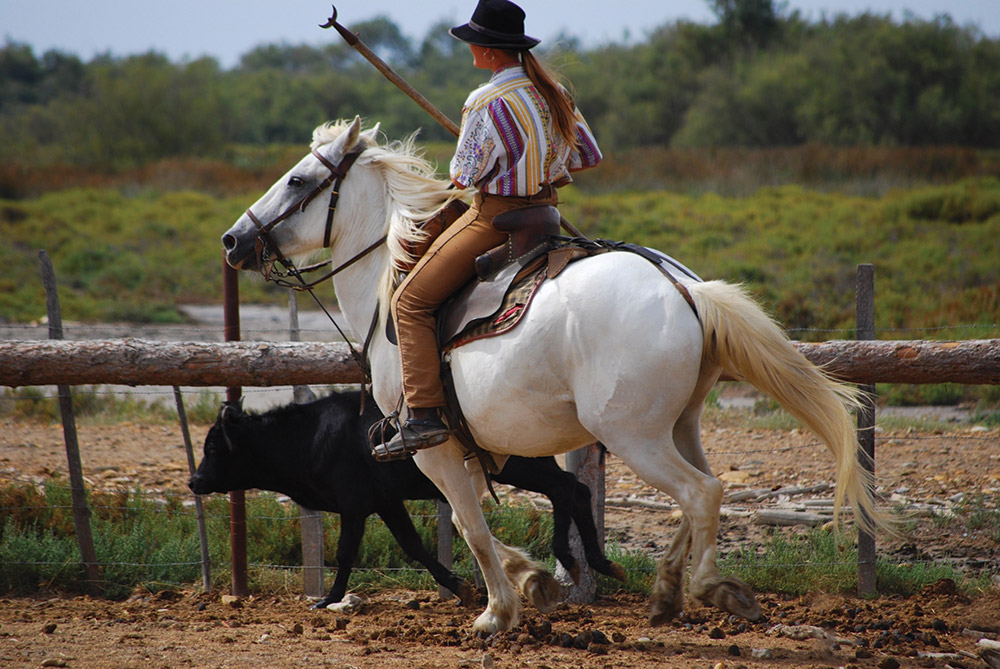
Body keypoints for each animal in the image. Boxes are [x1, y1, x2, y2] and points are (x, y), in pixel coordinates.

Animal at [223, 117, 888, 636]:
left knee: (699, 493)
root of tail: (685, 288)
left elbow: (470, 525)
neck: (393, 284)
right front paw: (532, 581)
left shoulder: (431, 448)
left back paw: (703, 589)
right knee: (705, 492)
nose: (234, 239)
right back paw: (668, 588)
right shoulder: (474, 449)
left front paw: (498, 610)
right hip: (679, 425)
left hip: (633, 436)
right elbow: (474, 521)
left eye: (297, 181)